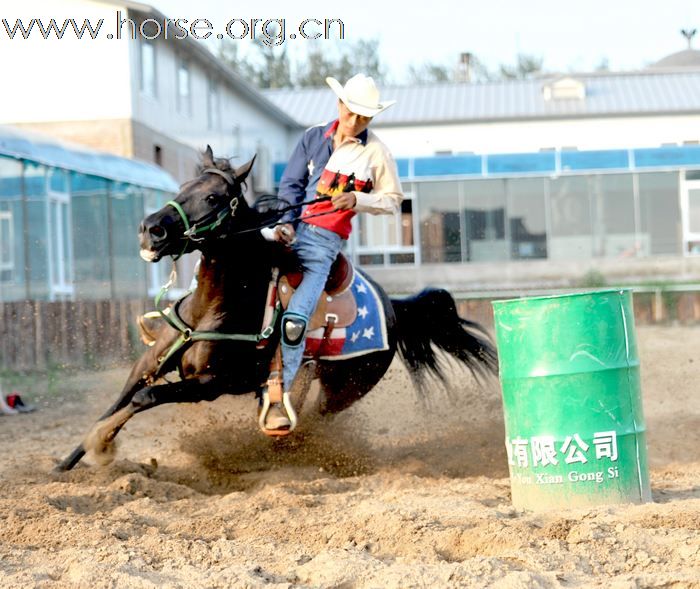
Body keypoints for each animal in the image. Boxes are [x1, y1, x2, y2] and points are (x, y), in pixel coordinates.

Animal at [56, 148, 498, 474]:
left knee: (315, 421)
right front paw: (66, 464)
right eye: (183, 187)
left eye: (214, 197)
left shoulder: (212, 383)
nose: (152, 229)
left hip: (346, 388)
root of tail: (392, 306)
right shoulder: (149, 361)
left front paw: (101, 446)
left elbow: (144, 397)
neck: (212, 307)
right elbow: (122, 398)